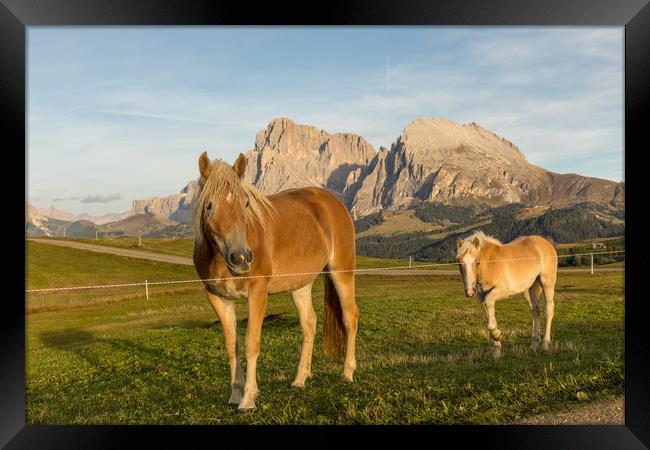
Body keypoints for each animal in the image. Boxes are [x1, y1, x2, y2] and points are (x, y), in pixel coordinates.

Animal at [192, 152, 360, 412]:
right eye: (209, 205)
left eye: (246, 204)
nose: (241, 258)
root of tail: (334, 202)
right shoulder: (217, 298)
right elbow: (232, 345)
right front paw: (235, 394)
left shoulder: (257, 294)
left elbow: (251, 342)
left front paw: (248, 399)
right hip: (300, 285)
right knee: (309, 323)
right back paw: (300, 379)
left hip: (341, 272)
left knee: (350, 316)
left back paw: (347, 373)